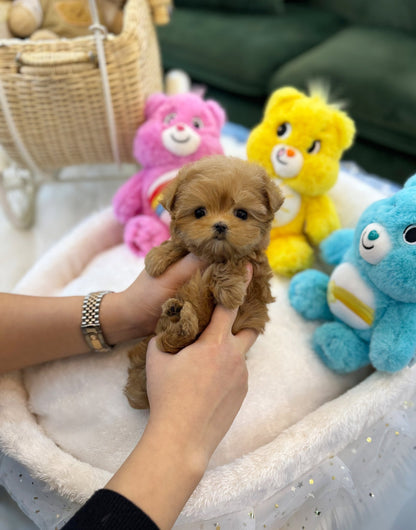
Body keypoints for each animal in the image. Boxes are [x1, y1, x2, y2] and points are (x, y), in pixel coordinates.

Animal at [123, 155, 284, 406]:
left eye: (242, 214)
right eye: (199, 212)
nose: (220, 225)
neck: (214, 255)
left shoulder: (255, 272)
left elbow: (237, 260)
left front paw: (229, 289)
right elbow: (180, 244)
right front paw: (157, 257)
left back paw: (179, 312)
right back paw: (176, 310)